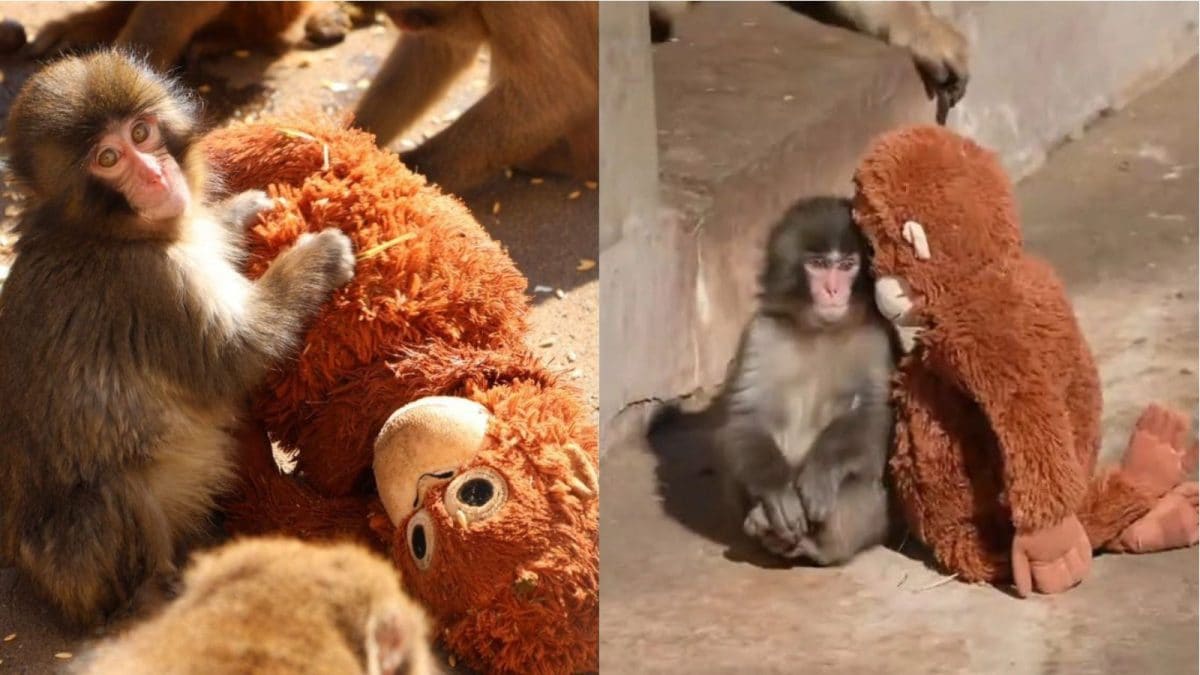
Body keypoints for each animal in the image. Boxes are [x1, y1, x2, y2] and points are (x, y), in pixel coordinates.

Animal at [0, 50, 356, 630]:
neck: (107, 232)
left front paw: (241, 211)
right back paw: (152, 595)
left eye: (141, 133)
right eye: (107, 158)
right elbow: (235, 357)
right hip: (73, 569)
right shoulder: (150, 286)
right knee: (113, 492)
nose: (154, 174)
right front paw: (318, 257)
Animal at [350, 2, 599, 194]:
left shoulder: (517, 7)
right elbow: (437, 48)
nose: (402, 22)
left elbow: (557, 97)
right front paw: (354, 135)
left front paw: (406, 176)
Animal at [715, 196, 897, 566]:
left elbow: (873, 414)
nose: (833, 289)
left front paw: (821, 473)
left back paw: (818, 546)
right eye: (817, 264)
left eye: (847, 265)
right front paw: (777, 491)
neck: (821, 331)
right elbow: (747, 415)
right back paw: (763, 522)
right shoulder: (761, 334)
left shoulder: (876, 339)